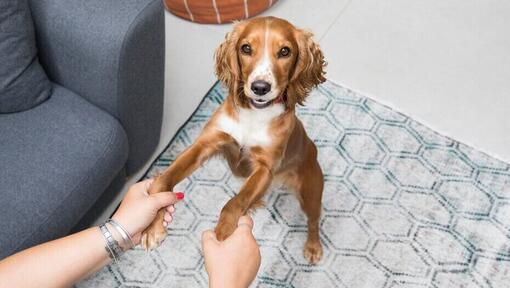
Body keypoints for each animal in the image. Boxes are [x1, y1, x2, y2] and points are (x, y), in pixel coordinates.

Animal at [142, 15, 326, 264]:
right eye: (246, 48)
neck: (254, 114)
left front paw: (223, 238)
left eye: (285, 51)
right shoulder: (206, 143)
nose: (260, 88)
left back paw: (313, 246)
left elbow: (234, 203)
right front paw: (152, 226)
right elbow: (164, 180)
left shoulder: (265, 169)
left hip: (310, 193)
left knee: (313, 221)